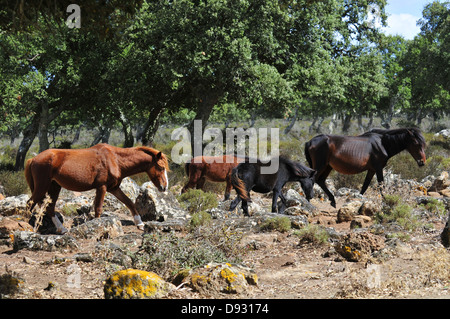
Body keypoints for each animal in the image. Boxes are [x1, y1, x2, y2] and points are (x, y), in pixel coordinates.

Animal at [25, 144, 169, 234]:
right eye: (161, 167)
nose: (164, 187)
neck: (115, 159)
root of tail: (33, 159)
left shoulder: (114, 188)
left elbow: (129, 203)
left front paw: (140, 224)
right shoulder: (102, 187)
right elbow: (98, 209)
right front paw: (98, 226)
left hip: (54, 187)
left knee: (49, 208)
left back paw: (62, 229)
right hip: (42, 187)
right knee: (30, 204)